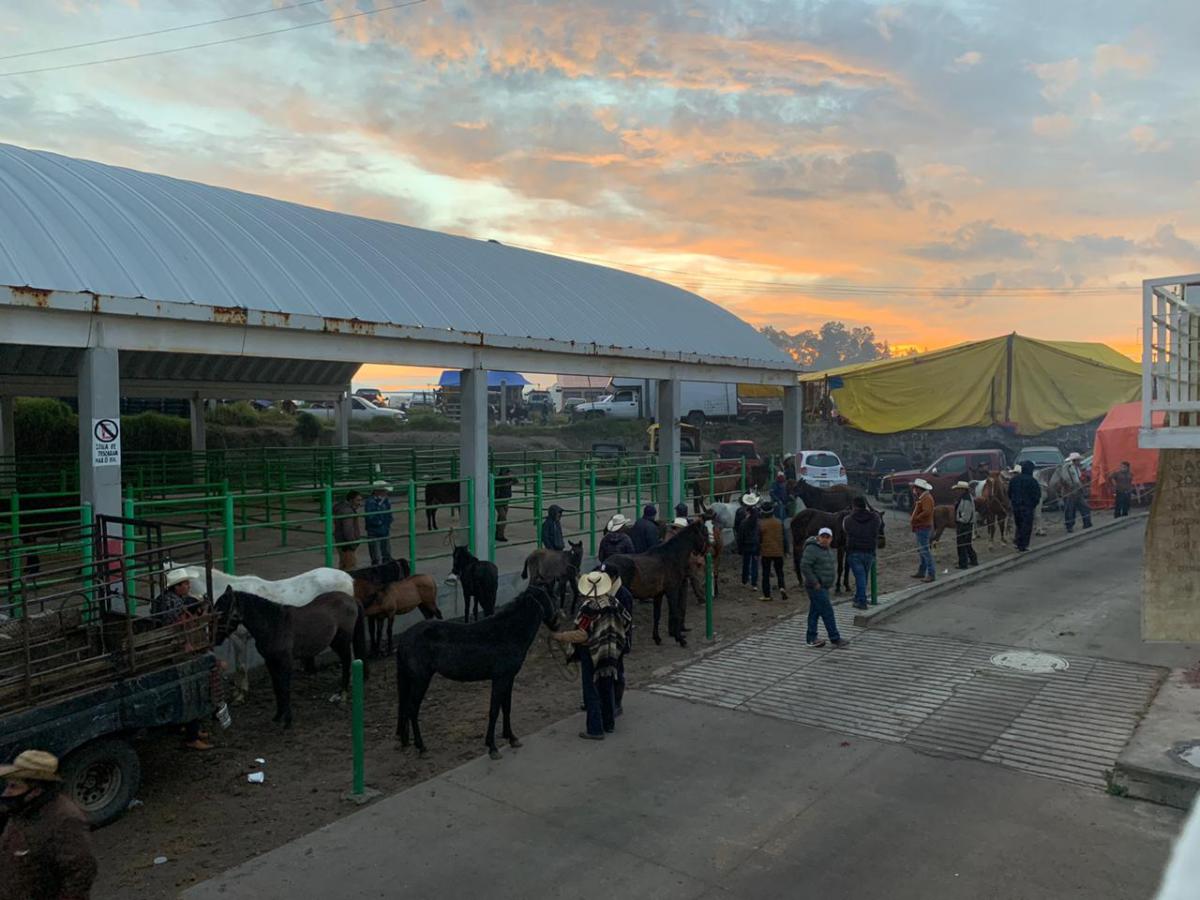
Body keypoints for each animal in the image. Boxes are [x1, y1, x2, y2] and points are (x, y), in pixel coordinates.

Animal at [214, 588, 364, 729]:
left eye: (221, 612)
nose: (215, 639)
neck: (274, 624)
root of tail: (351, 599)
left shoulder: (285, 661)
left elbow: (285, 688)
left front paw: (287, 721)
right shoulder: (270, 662)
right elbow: (277, 688)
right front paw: (278, 716)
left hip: (343, 642)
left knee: (346, 663)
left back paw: (343, 696)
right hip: (335, 642)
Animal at [396, 585, 559, 763]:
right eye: (550, 597)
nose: (557, 623)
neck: (507, 633)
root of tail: (404, 638)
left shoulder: (509, 679)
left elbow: (506, 707)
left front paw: (512, 738)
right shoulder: (500, 679)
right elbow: (494, 711)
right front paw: (492, 747)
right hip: (421, 680)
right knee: (412, 709)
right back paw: (421, 747)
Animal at [604, 520, 705, 648]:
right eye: (704, 533)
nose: (703, 552)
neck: (670, 556)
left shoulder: (658, 594)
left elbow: (657, 615)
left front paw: (657, 638)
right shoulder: (672, 591)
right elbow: (675, 613)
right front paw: (680, 639)